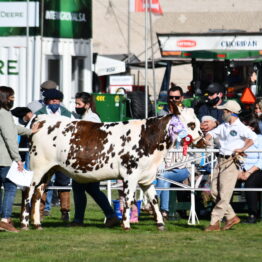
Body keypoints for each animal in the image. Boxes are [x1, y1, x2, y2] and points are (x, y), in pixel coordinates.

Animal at [20, 103, 205, 230]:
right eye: (191, 124)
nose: (203, 139)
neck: (148, 137)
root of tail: (41, 119)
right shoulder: (130, 174)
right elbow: (129, 199)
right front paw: (126, 224)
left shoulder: (147, 177)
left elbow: (154, 199)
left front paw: (160, 223)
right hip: (38, 167)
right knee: (28, 191)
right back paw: (24, 223)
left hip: (49, 170)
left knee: (38, 194)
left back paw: (37, 224)